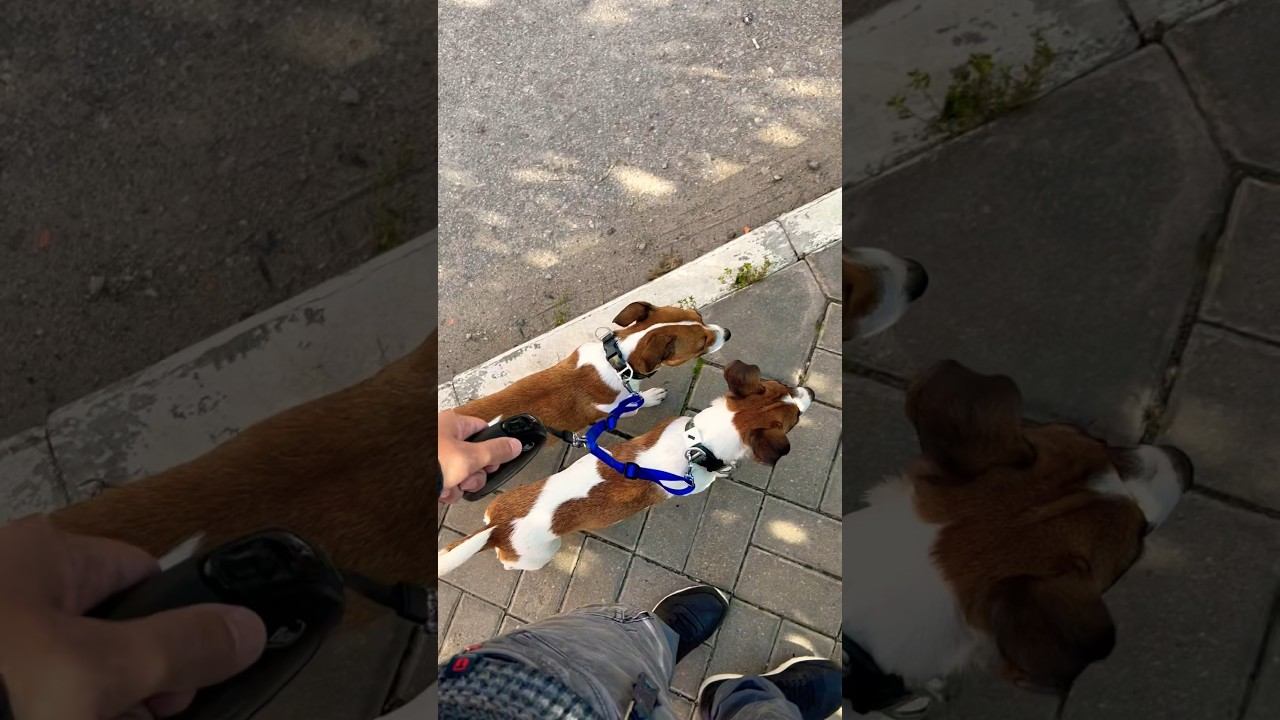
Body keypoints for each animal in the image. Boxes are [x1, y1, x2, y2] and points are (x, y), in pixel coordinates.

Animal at [438, 360, 812, 575]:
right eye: (794, 419)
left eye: (784, 387)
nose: (809, 390)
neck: (696, 443)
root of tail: (498, 528)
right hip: (539, 553)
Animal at [454, 301, 729, 433]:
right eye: (702, 343)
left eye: (698, 315)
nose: (727, 333)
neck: (618, 362)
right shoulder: (619, 409)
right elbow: (639, 401)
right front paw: (650, 397)